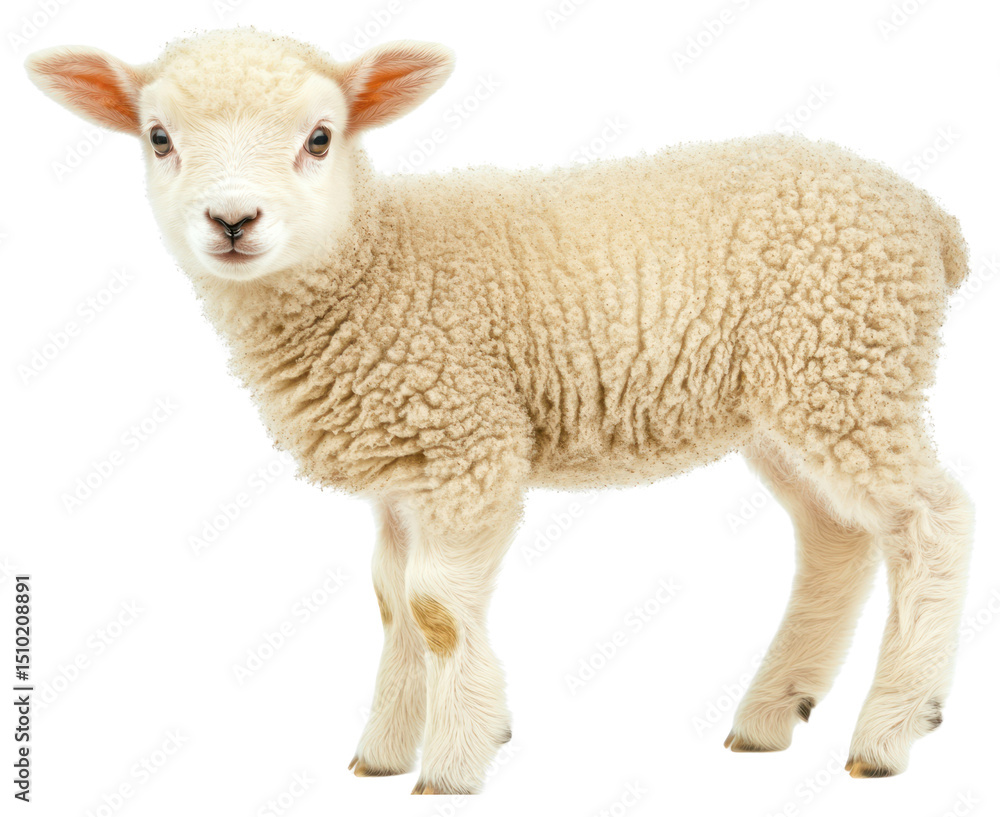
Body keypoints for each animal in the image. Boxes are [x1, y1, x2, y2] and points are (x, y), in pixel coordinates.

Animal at [25, 27, 973, 795]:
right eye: (159, 139)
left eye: (320, 138)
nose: (232, 220)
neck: (378, 264)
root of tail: (928, 216)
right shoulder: (403, 470)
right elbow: (392, 600)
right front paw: (381, 751)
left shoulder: (470, 442)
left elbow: (437, 608)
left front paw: (452, 762)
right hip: (789, 398)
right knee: (837, 535)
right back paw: (774, 710)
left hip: (847, 363)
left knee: (932, 517)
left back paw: (892, 728)